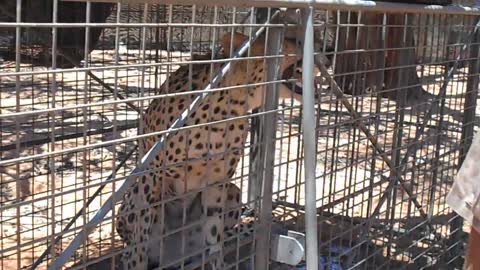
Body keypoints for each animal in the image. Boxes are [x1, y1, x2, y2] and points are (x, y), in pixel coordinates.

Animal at [116, 30, 302, 268]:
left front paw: (218, 262)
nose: (326, 52)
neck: (231, 105)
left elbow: (214, 236)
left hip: (233, 191)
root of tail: (173, 256)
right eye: (292, 42)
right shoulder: (151, 175)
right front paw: (135, 262)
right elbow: (141, 233)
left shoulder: (217, 181)